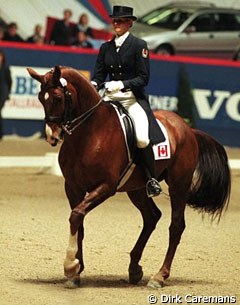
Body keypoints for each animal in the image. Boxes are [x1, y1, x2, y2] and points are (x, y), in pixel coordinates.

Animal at [27, 64, 232, 288]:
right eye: (40, 98)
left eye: (57, 98)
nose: (52, 136)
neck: (90, 133)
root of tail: (188, 129)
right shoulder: (73, 187)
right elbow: (78, 222)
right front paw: (75, 272)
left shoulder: (106, 186)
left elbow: (76, 215)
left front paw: (70, 265)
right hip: (137, 189)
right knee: (152, 217)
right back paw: (134, 269)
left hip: (179, 184)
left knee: (176, 226)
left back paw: (159, 276)